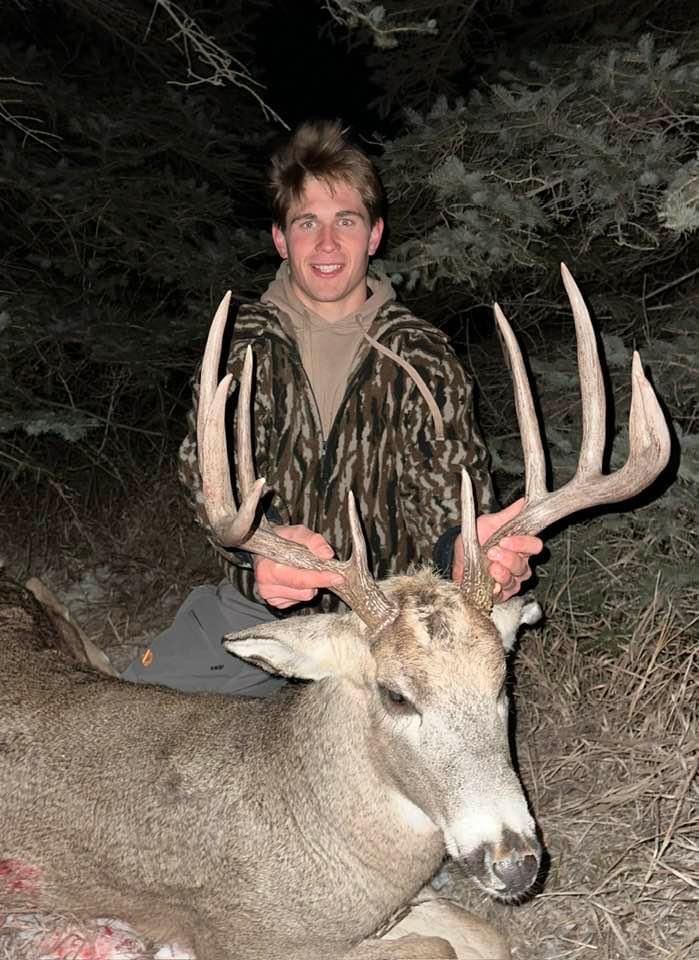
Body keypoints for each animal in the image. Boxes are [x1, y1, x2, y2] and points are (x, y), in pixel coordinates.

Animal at [0, 265, 670, 959]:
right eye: (396, 696)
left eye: (502, 683)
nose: (514, 863)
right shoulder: (243, 936)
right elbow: (439, 947)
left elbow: (485, 937)